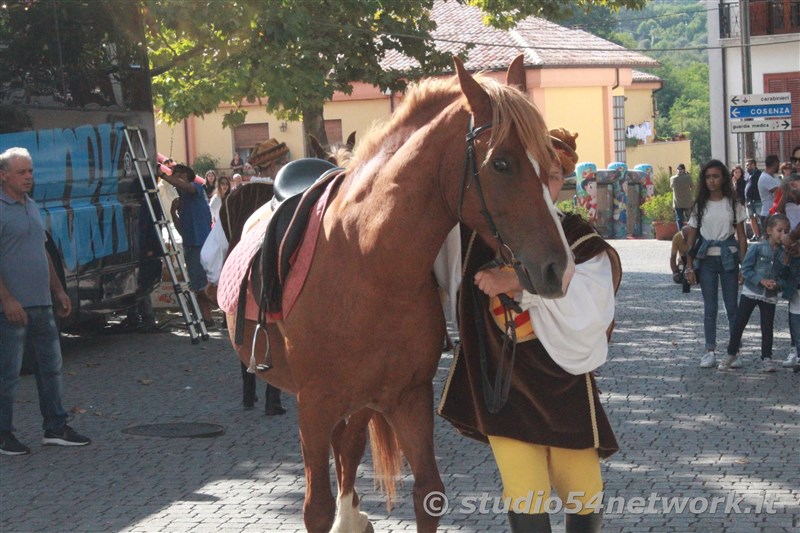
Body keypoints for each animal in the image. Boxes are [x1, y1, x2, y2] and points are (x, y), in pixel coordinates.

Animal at [223, 56, 576, 528]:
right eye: (501, 164)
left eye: (550, 164)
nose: (559, 268)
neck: (368, 265)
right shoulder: (313, 405)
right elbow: (315, 507)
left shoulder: (408, 397)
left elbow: (428, 492)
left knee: (349, 446)